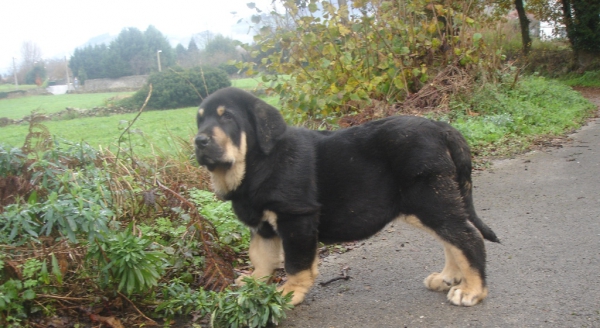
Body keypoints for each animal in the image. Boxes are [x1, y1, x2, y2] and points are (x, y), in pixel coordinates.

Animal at [195, 86, 500, 304]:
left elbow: (295, 263)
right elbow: (260, 256)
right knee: (452, 239)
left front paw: (289, 292)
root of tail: (441, 127)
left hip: (429, 199)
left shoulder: (296, 218)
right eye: (200, 121)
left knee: (467, 238)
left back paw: (472, 290)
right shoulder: (264, 226)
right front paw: (255, 281)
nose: (199, 141)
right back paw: (449, 278)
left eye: (228, 118)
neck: (256, 164)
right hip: (431, 203)